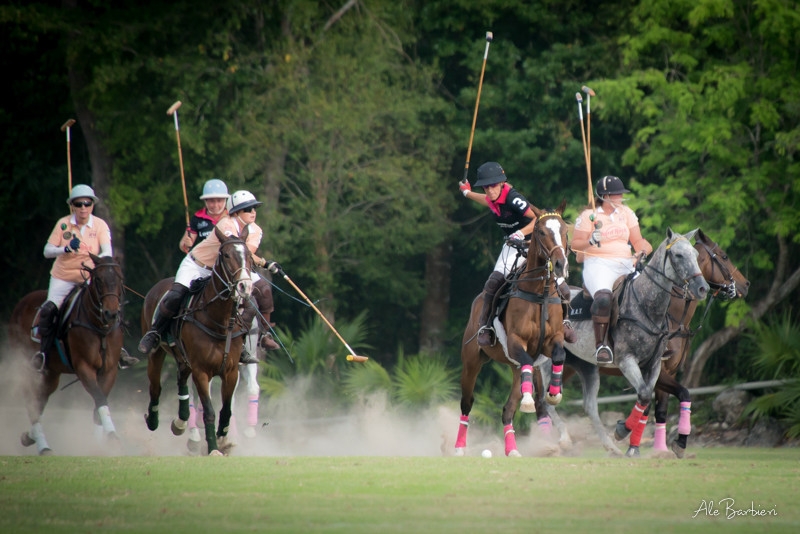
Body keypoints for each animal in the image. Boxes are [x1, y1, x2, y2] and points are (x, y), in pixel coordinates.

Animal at [8, 254, 125, 455]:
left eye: (119, 278)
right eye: (98, 280)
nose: (111, 313)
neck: (100, 328)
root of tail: (22, 303)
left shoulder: (109, 370)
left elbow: (98, 405)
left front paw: (97, 446)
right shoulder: (84, 367)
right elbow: (99, 398)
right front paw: (112, 436)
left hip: (51, 374)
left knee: (40, 400)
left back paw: (29, 437)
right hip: (26, 366)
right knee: (31, 401)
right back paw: (43, 447)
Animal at [142, 227, 253, 456]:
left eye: (248, 255)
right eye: (226, 255)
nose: (245, 286)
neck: (219, 321)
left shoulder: (231, 371)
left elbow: (226, 410)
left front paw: (223, 439)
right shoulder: (202, 371)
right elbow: (209, 411)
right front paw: (213, 449)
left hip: (183, 358)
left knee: (181, 379)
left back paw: (180, 422)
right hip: (157, 353)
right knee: (156, 386)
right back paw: (153, 420)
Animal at [455, 201, 571, 457]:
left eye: (565, 230)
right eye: (541, 232)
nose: (560, 265)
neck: (540, 293)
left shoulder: (552, 340)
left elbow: (559, 355)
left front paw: (555, 393)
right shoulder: (517, 342)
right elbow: (526, 359)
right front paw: (530, 399)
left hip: (515, 367)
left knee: (508, 408)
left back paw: (513, 449)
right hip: (471, 361)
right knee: (467, 403)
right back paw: (459, 448)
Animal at [542, 229, 748, 456]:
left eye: (695, 255)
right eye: (723, 257)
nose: (745, 285)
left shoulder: (659, 367)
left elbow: (666, 401)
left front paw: (666, 445)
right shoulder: (629, 362)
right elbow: (647, 399)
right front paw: (627, 436)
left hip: (583, 366)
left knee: (585, 405)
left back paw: (607, 446)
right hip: (549, 361)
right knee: (544, 400)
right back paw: (559, 441)